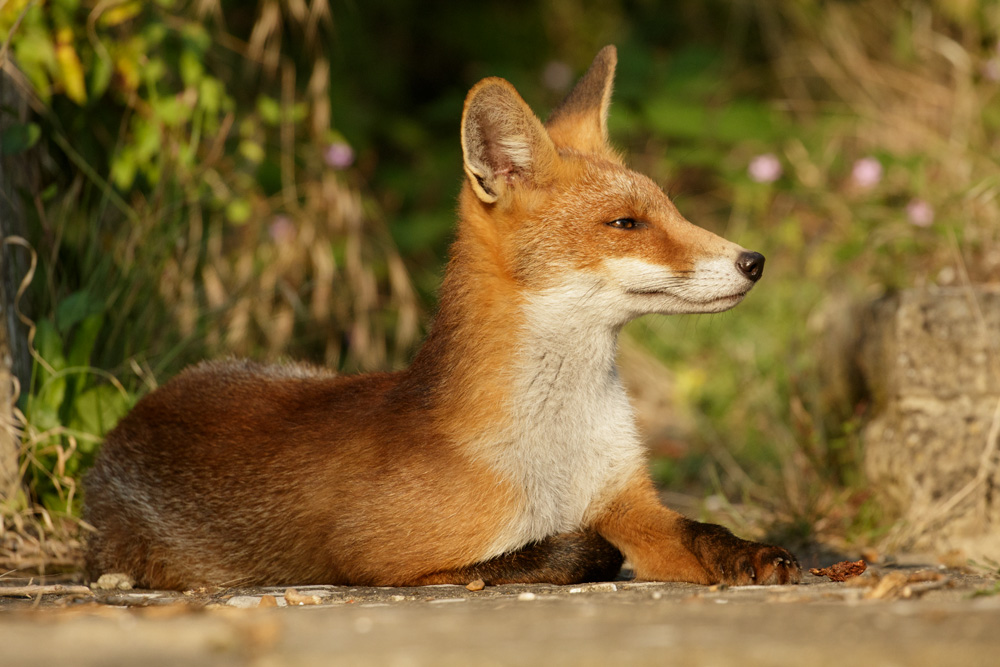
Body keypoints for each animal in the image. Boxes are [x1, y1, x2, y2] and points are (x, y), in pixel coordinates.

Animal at [84, 46, 801, 590]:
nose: (755, 261)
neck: (555, 451)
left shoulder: (625, 498)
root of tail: (132, 419)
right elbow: (562, 553)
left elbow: (698, 530)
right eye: (626, 224)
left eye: (671, 210)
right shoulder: (377, 559)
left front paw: (754, 552)